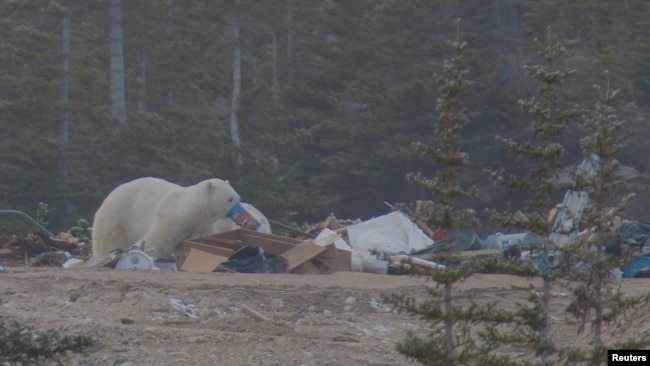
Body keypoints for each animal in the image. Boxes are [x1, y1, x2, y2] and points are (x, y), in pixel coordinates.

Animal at [90, 177, 242, 260]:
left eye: (237, 197)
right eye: (230, 199)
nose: (241, 211)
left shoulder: (202, 226)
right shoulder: (171, 218)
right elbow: (157, 240)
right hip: (117, 217)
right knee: (110, 240)